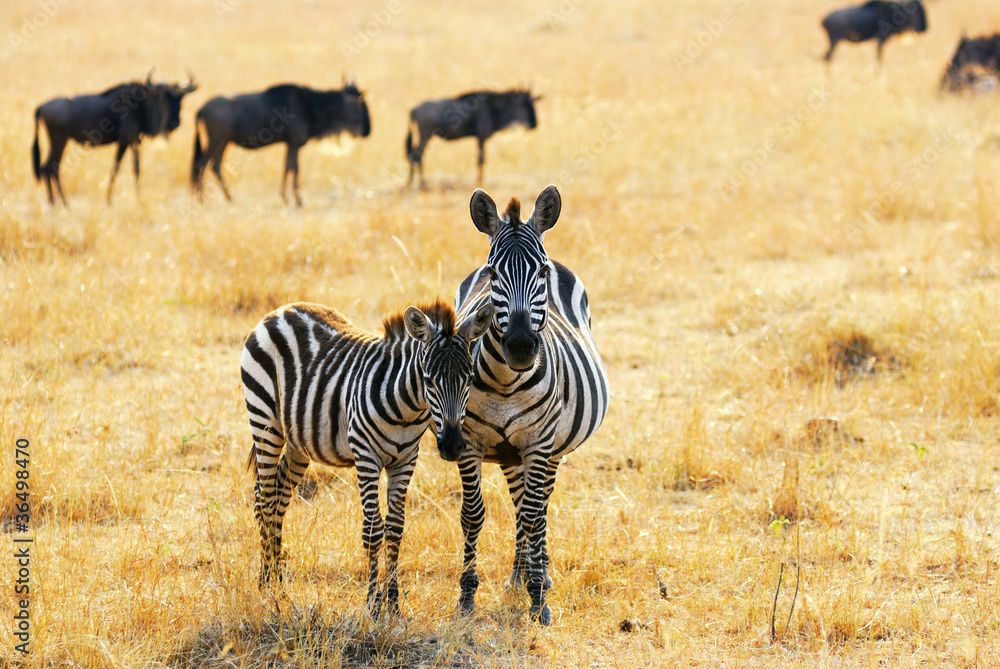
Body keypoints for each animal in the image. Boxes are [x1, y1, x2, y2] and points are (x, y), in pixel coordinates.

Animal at [240, 298, 494, 614]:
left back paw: (276, 584)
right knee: (264, 499)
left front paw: (393, 603)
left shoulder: (405, 460)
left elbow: (395, 528)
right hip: (265, 422)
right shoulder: (366, 457)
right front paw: (373, 604)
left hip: (299, 441)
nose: (452, 446)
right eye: (428, 380)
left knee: (277, 497)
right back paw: (267, 586)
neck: (406, 410)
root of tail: (280, 311)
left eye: (470, 380)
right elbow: (373, 530)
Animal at [452, 184, 610, 625]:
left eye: (540, 272)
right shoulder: (469, 443)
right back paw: (518, 577)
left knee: (537, 506)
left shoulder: (539, 443)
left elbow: (536, 513)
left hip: (550, 448)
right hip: (510, 453)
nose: (522, 347)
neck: (507, 383)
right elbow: (473, 514)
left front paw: (539, 597)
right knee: (521, 501)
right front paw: (467, 595)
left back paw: (537, 575)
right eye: (493, 274)